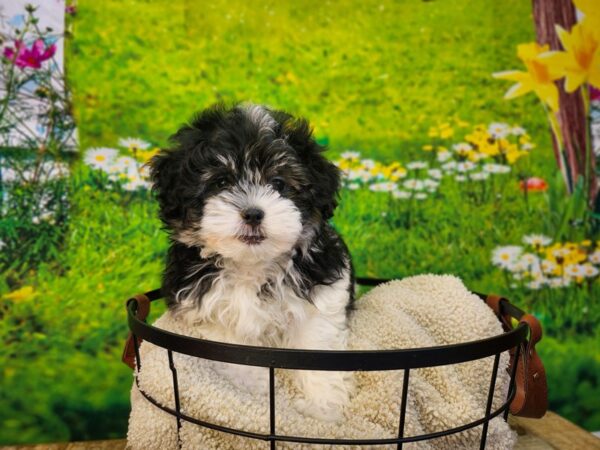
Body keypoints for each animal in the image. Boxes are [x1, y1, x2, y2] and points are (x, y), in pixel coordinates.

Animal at [150, 103, 354, 420]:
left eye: (279, 184)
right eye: (221, 182)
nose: (253, 214)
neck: (251, 264)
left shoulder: (322, 294)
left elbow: (316, 343)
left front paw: (323, 406)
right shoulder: (208, 309)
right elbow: (234, 350)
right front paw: (255, 394)